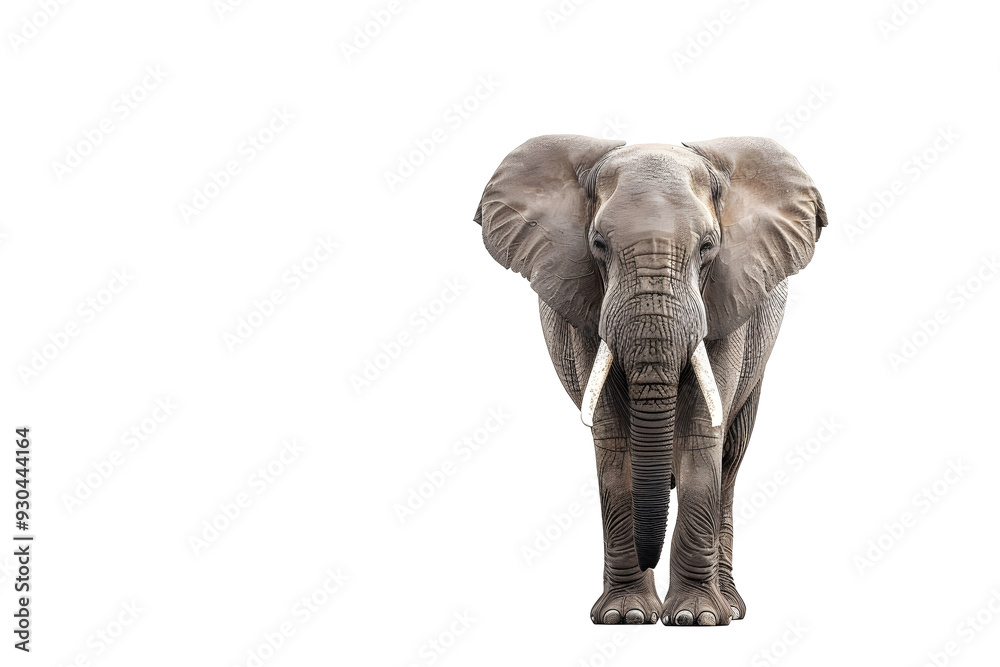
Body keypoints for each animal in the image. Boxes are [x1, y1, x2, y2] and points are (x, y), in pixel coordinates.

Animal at [473, 135, 827, 626]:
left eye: (708, 246)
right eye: (598, 244)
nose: (649, 558)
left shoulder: (728, 296)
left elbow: (701, 435)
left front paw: (697, 618)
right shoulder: (587, 308)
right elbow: (614, 441)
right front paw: (626, 616)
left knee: (731, 459)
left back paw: (732, 608)